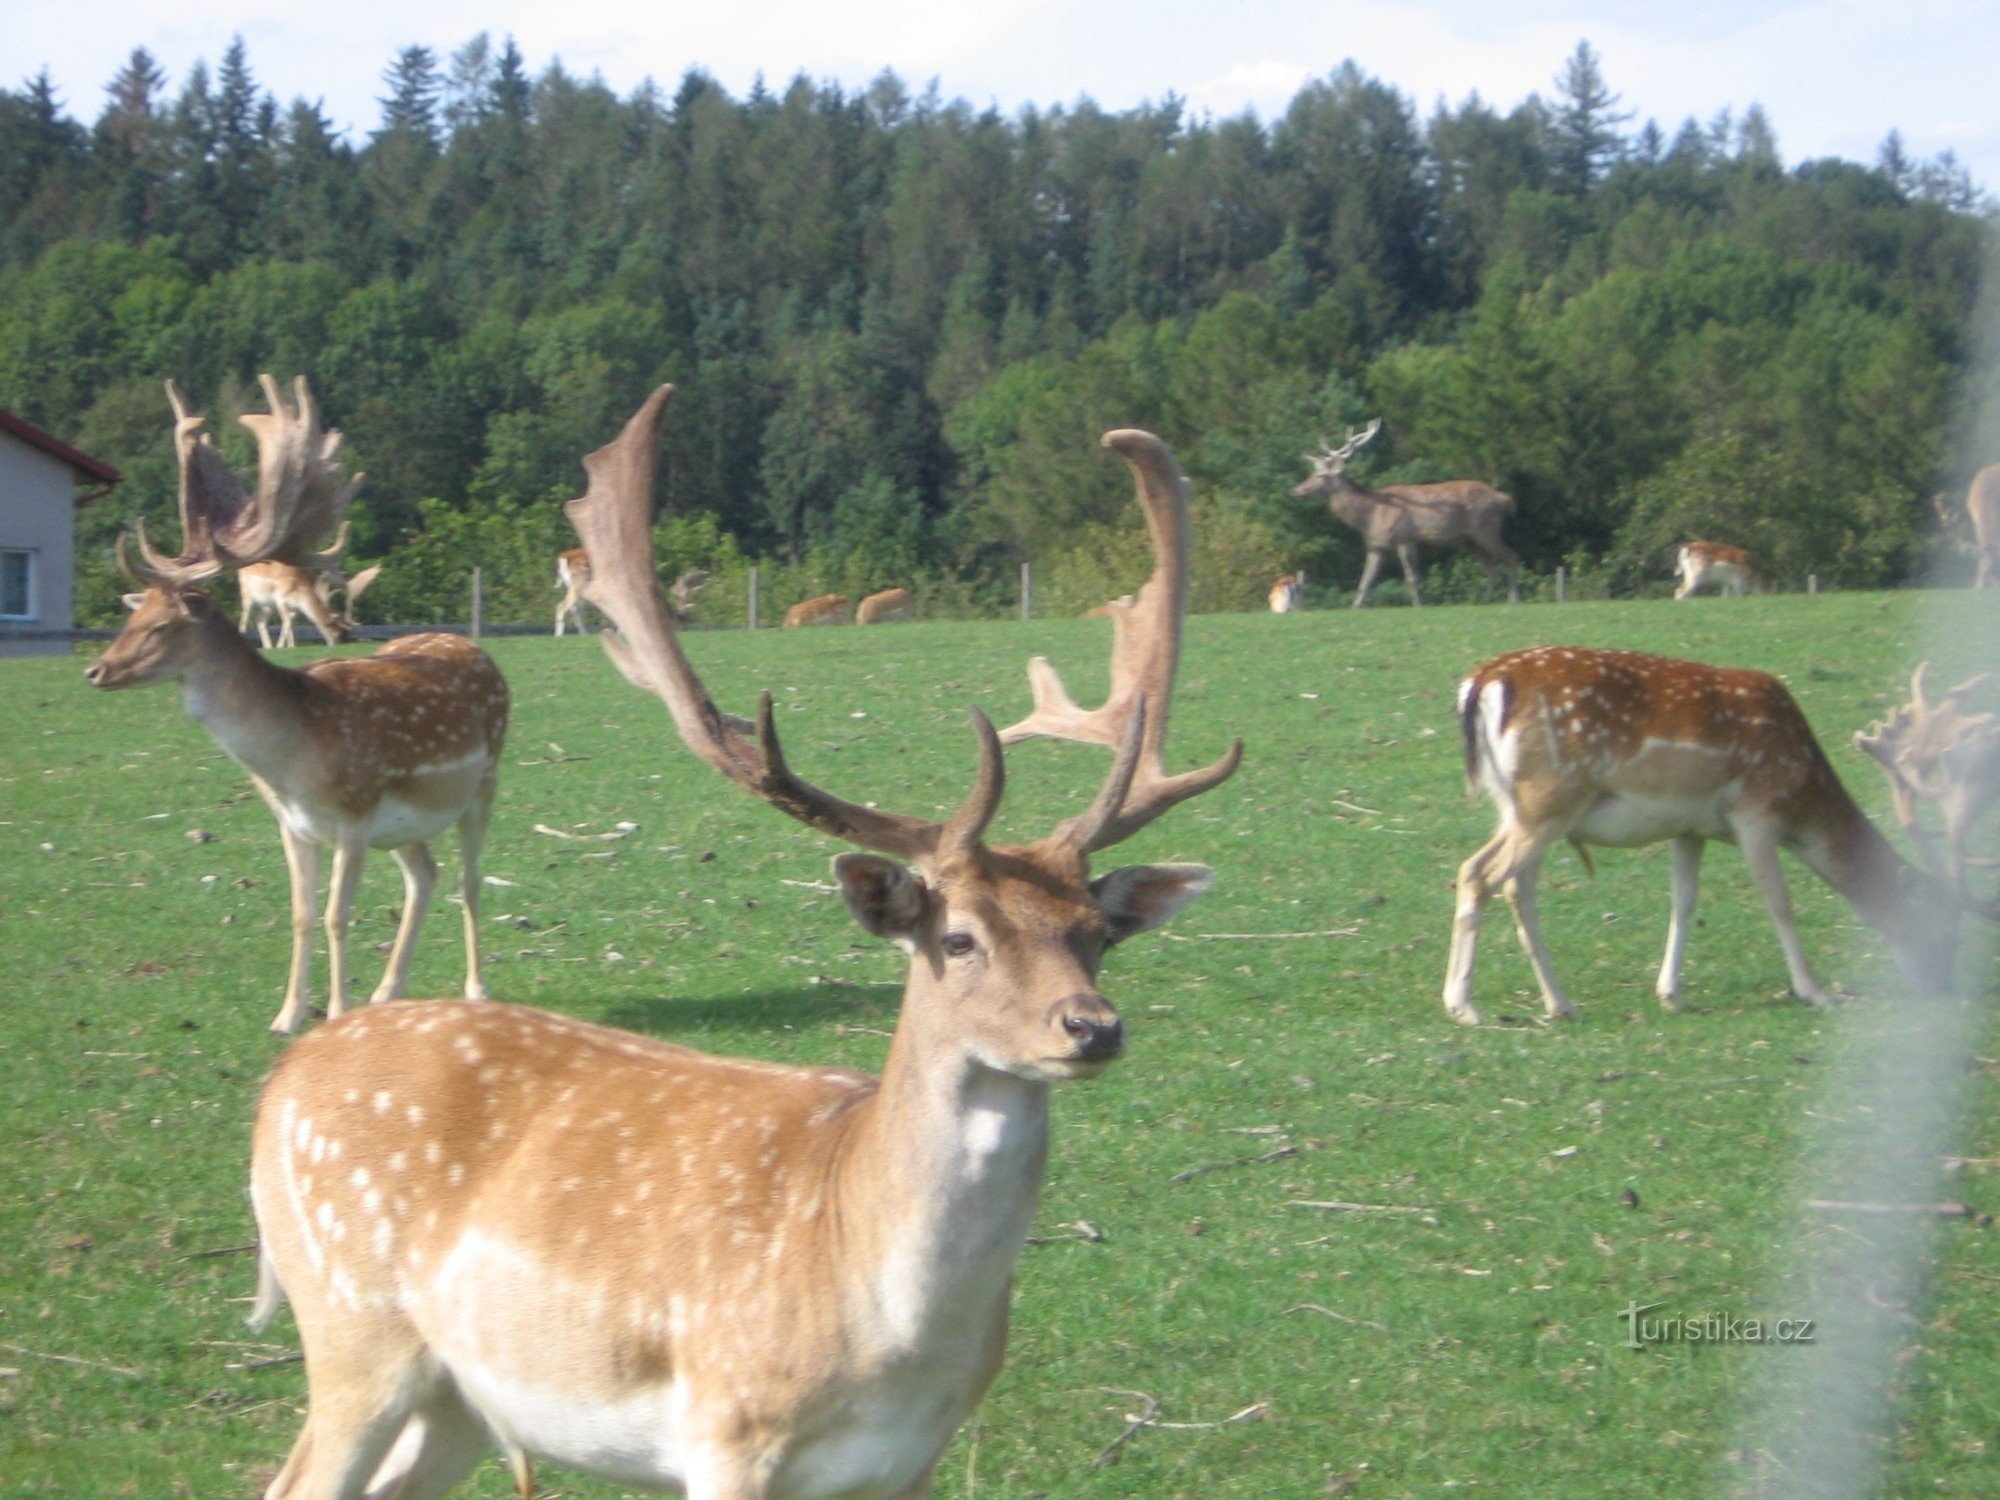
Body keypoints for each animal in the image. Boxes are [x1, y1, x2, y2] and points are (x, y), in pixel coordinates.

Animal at [84, 376, 508, 1032]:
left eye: (159, 626)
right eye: (132, 616)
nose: (96, 670)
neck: (291, 762)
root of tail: (473, 645)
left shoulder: (355, 819)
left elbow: (336, 917)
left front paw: (334, 1012)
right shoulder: (293, 825)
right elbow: (302, 915)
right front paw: (286, 1016)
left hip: (482, 783)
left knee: (470, 878)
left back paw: (476, 989)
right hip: (409, 821)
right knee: (425, 874)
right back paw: (389, 992)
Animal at [244, 390, 1240, 1500]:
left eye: (1098, 933)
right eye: (959, 939)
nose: (1092, 1027)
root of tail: (285, 1081)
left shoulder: (914, 1461)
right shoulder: (728, 1429)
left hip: (456, 1395)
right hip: (351, 1324)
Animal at [1288, 420, 1520, 608]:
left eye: (1321, 475)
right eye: (1313, 472)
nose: (1297, 490)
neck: (1370, 515)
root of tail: (1503, 498)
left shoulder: (1405, 537)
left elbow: (1411, 577)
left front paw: (1418, 605)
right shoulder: (1376, 546)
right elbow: (1365, 580)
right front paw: (1355, 606)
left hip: (1486, 528)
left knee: (1510, 556)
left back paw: (1513, 598)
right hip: (1468, 540)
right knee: (1491, 567)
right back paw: (1486, 599)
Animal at [1440, 640, 1968, 1032]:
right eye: (1940, 928)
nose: (1943, 986)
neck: (1803, 797)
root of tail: (1483, 681)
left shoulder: (1690, 827)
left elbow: (1685, 900)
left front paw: (1671, 994)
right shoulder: (1755, 811)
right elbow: (1779, 900)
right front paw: (1814, 992)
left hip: (1517, 805)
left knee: (1516, 884)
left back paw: (1560, 1003)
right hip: (1549, 798)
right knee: (1479, 871)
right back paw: (1464, 1006)